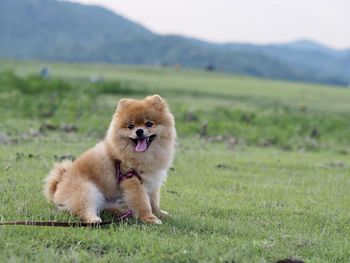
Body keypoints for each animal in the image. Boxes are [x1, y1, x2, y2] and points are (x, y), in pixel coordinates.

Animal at [44, 95, 175, 225]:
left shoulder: (153, 182)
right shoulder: (132, 180)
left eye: (149, 124)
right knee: (83, 209)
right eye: (130, 126)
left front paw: (159, 213)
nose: (139, 131)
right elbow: (142, 202)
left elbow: (153, 201)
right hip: (86, 190)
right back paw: (94, 219)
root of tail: (58, 185)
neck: (145, 155)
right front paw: (150, 218)